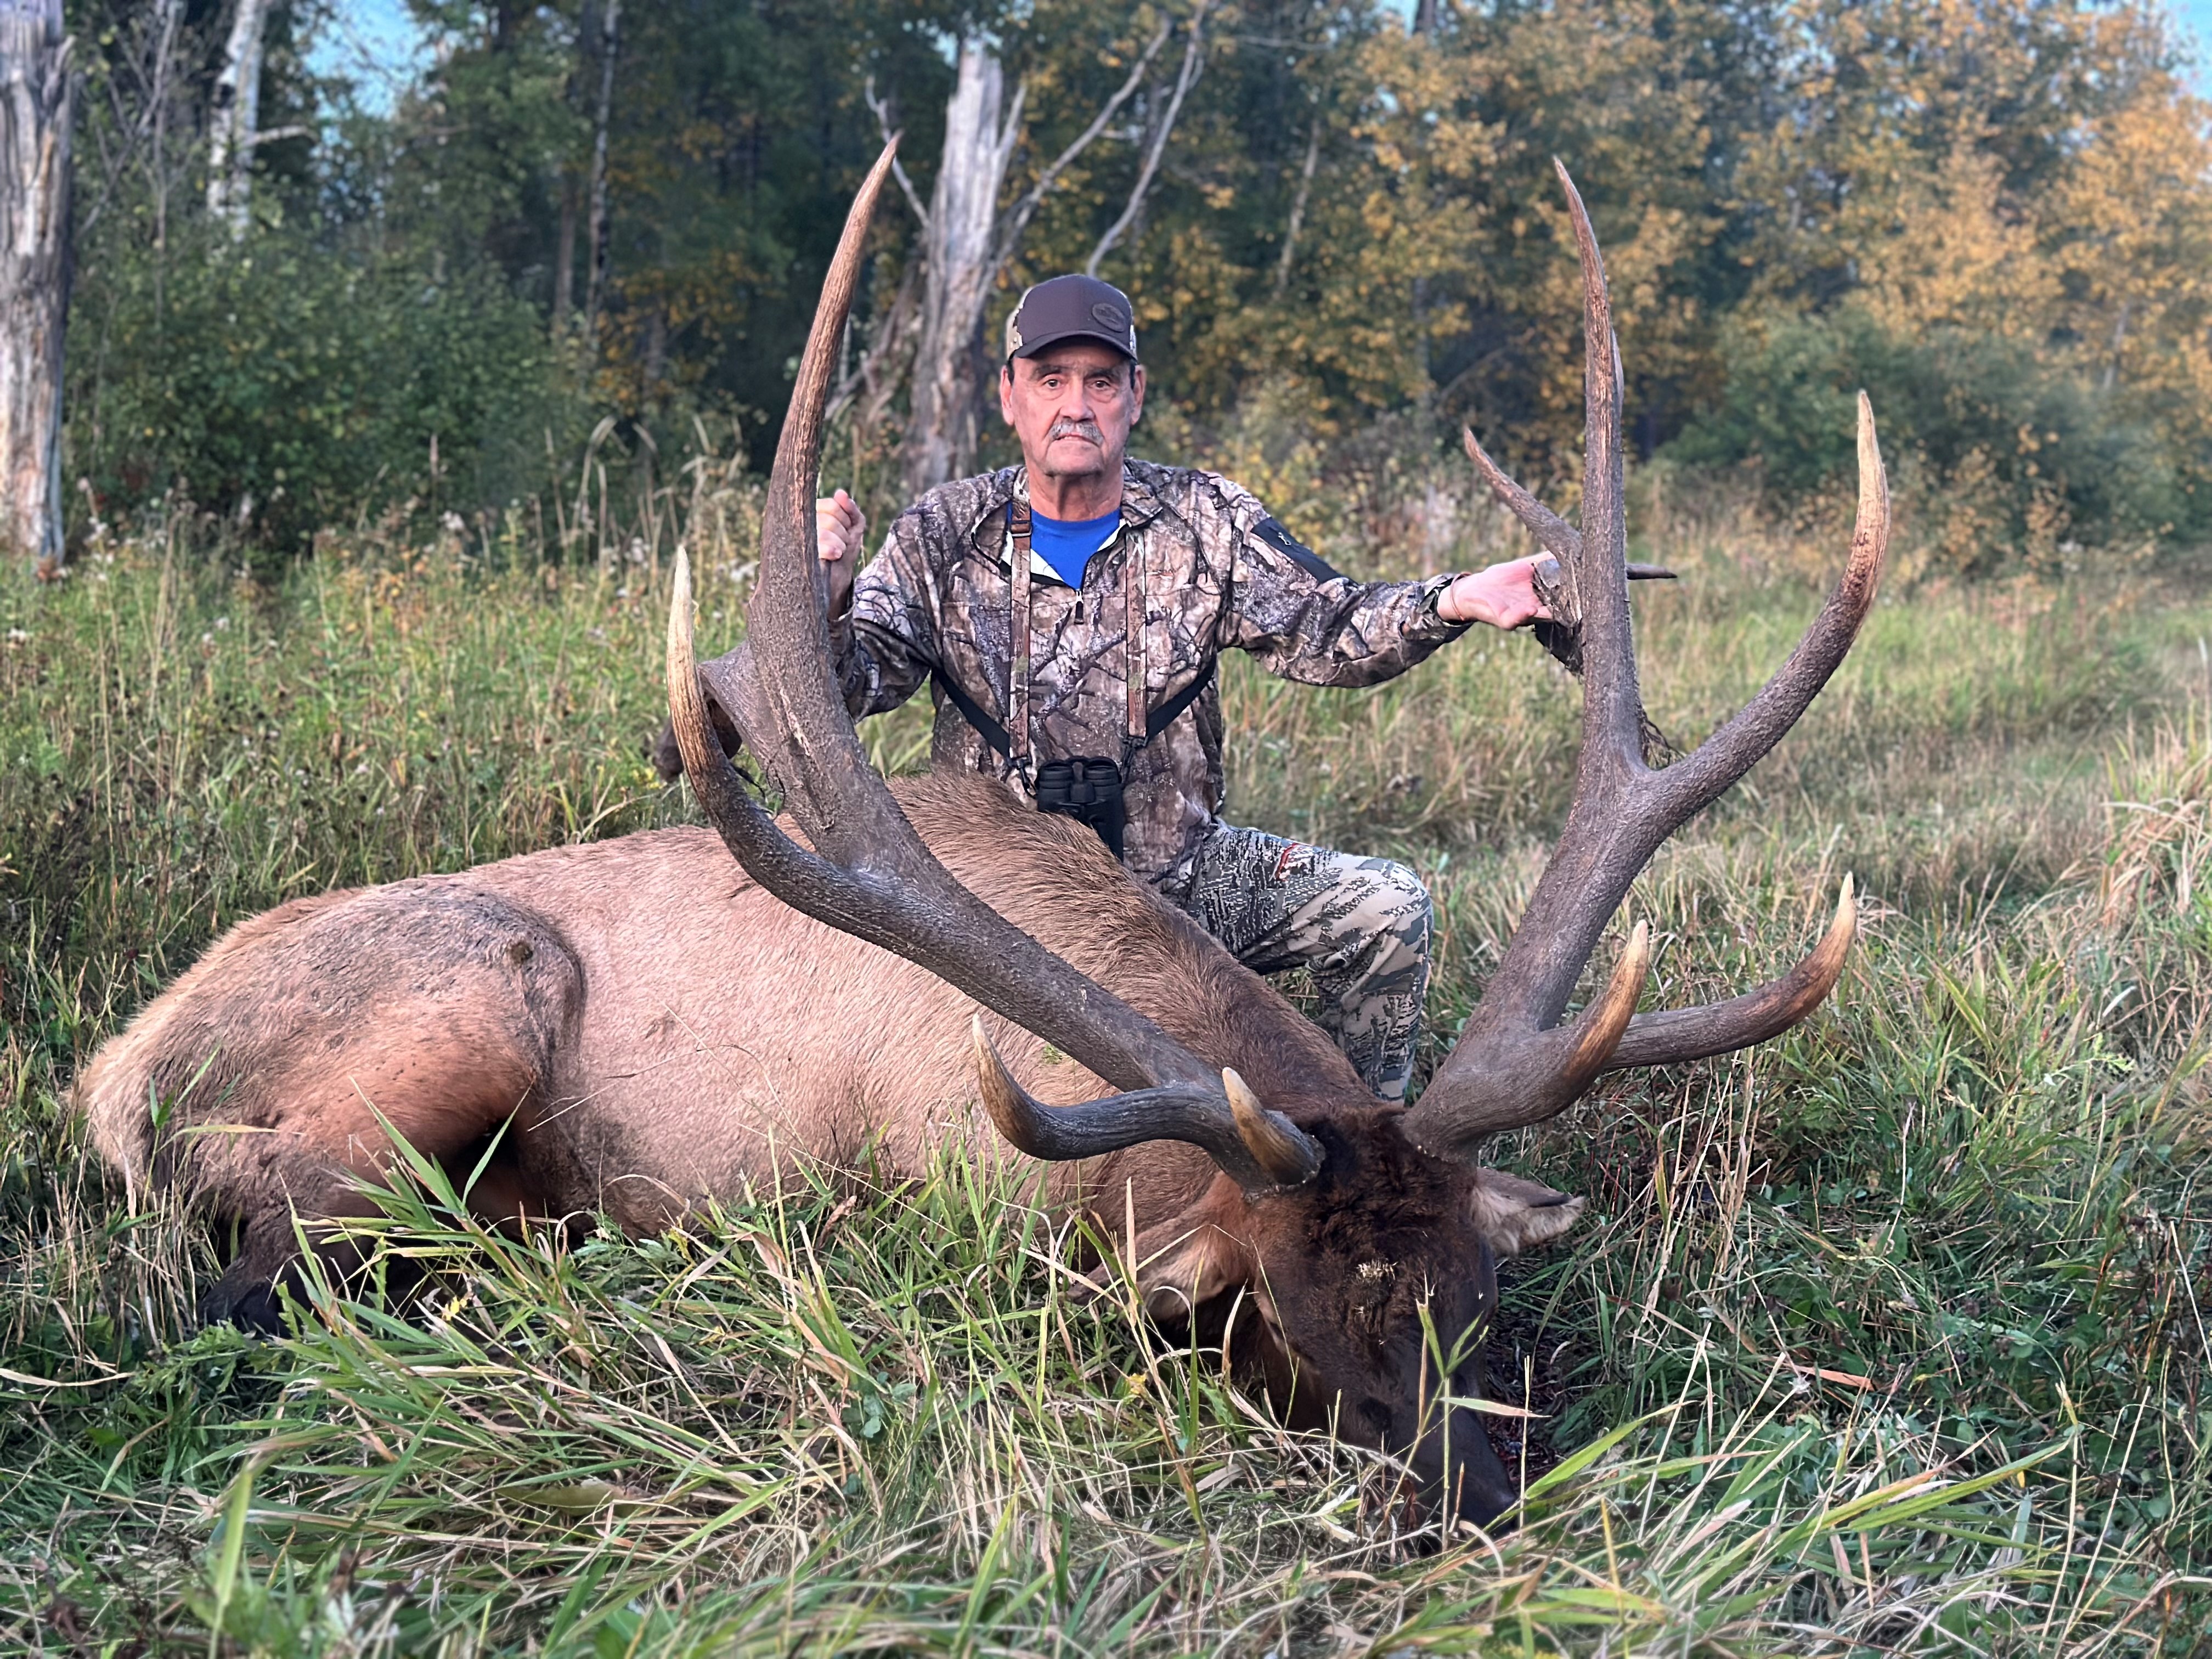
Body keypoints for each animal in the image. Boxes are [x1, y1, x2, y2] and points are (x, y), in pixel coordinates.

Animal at [78, 143, 1888, 1529]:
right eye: (1300, 1314)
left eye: (1472, 1298)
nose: (1475, 1499)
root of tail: (115, 1064)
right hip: (464, 1011)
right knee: (256, 1285)